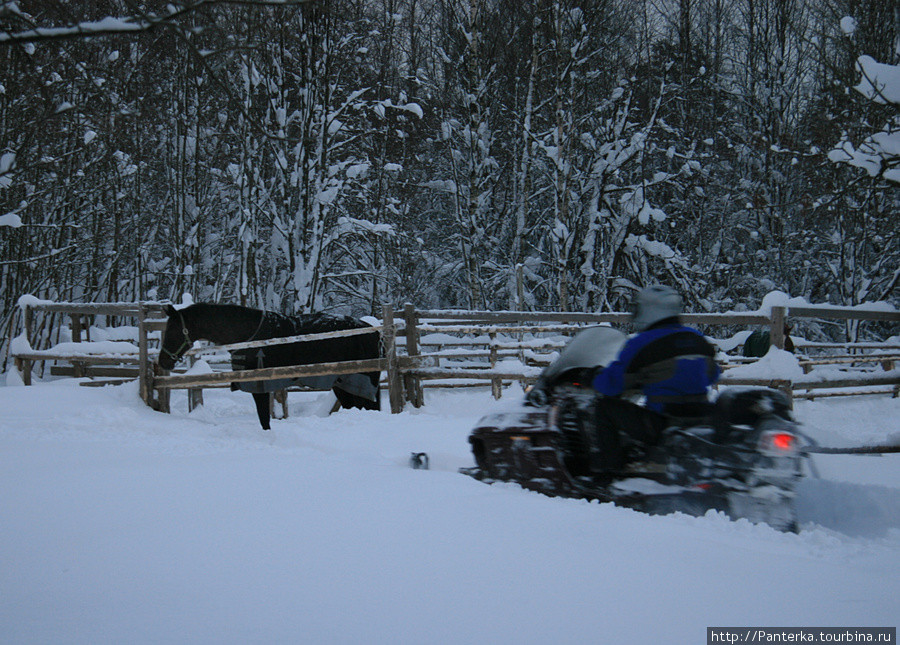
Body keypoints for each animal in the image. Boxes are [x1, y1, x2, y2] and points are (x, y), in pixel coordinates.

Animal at [156, 304, 382, 430]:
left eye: (172, 330)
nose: (163, 361)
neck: (248, 336)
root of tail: (372, 331)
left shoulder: (259, 386)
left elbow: (264, 419)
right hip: (343, 385)